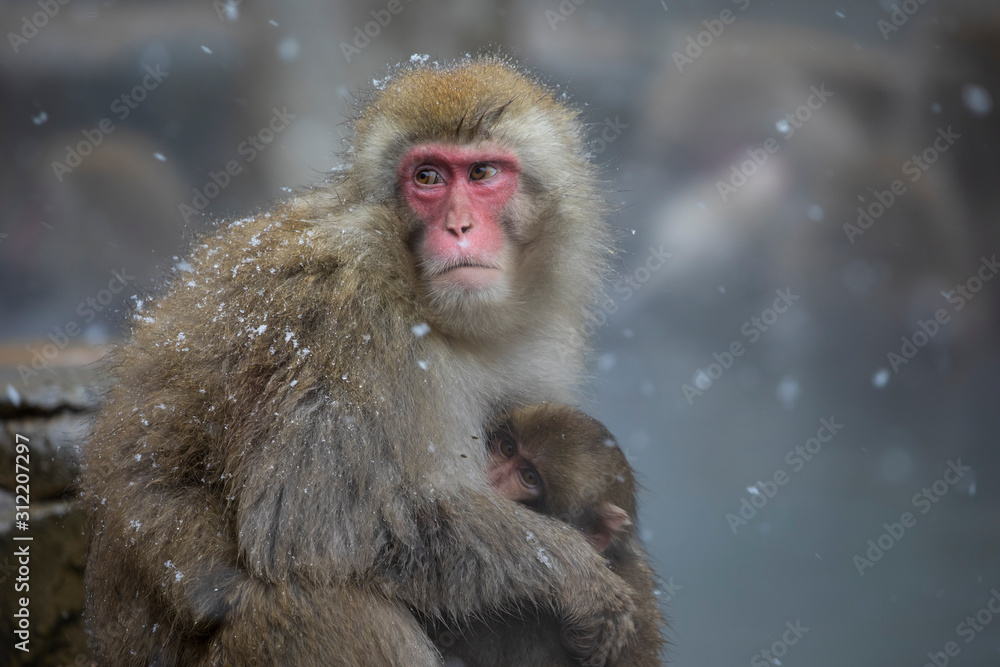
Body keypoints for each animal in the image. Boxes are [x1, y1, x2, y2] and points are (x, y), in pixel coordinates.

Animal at [81, 56, 641, 667]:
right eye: (428, 178)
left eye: (483, 173)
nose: (459, 227)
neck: (433, 314)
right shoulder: (346, 322)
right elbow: (315, 525)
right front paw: (575, 572)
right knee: (322, 602)